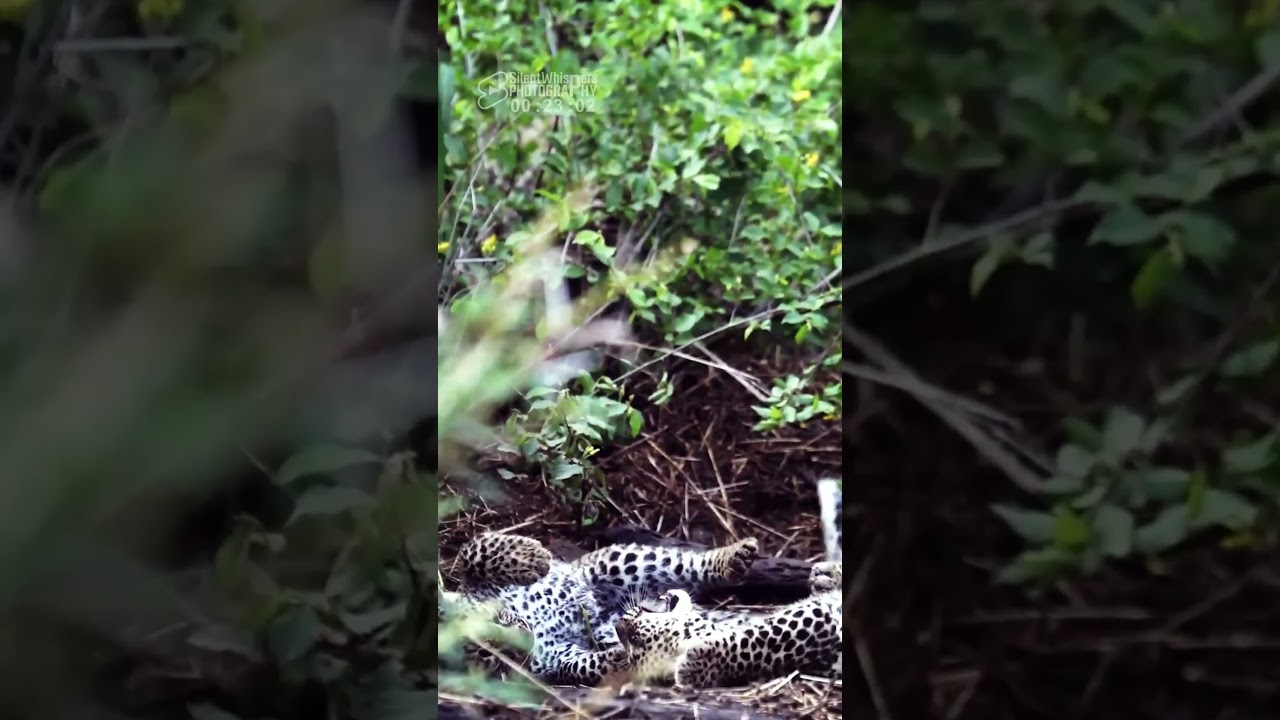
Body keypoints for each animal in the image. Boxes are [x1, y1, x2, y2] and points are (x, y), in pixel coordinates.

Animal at [438, 531, 760, 686]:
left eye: (497, 618)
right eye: (487, 656)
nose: (524, 635)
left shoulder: (475, 581)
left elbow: (474, 551)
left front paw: (534, 558)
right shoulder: (558, 659)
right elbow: (585, 665)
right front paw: (625, 656)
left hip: (613, 564)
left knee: (685, 563)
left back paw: (735, 557)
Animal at [614, 559, 843, 688]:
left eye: (633, 638)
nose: (618, 625)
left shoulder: (819, 612)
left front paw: (826, 577)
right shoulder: (820, 622)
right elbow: (759, 643)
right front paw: (695, 665)